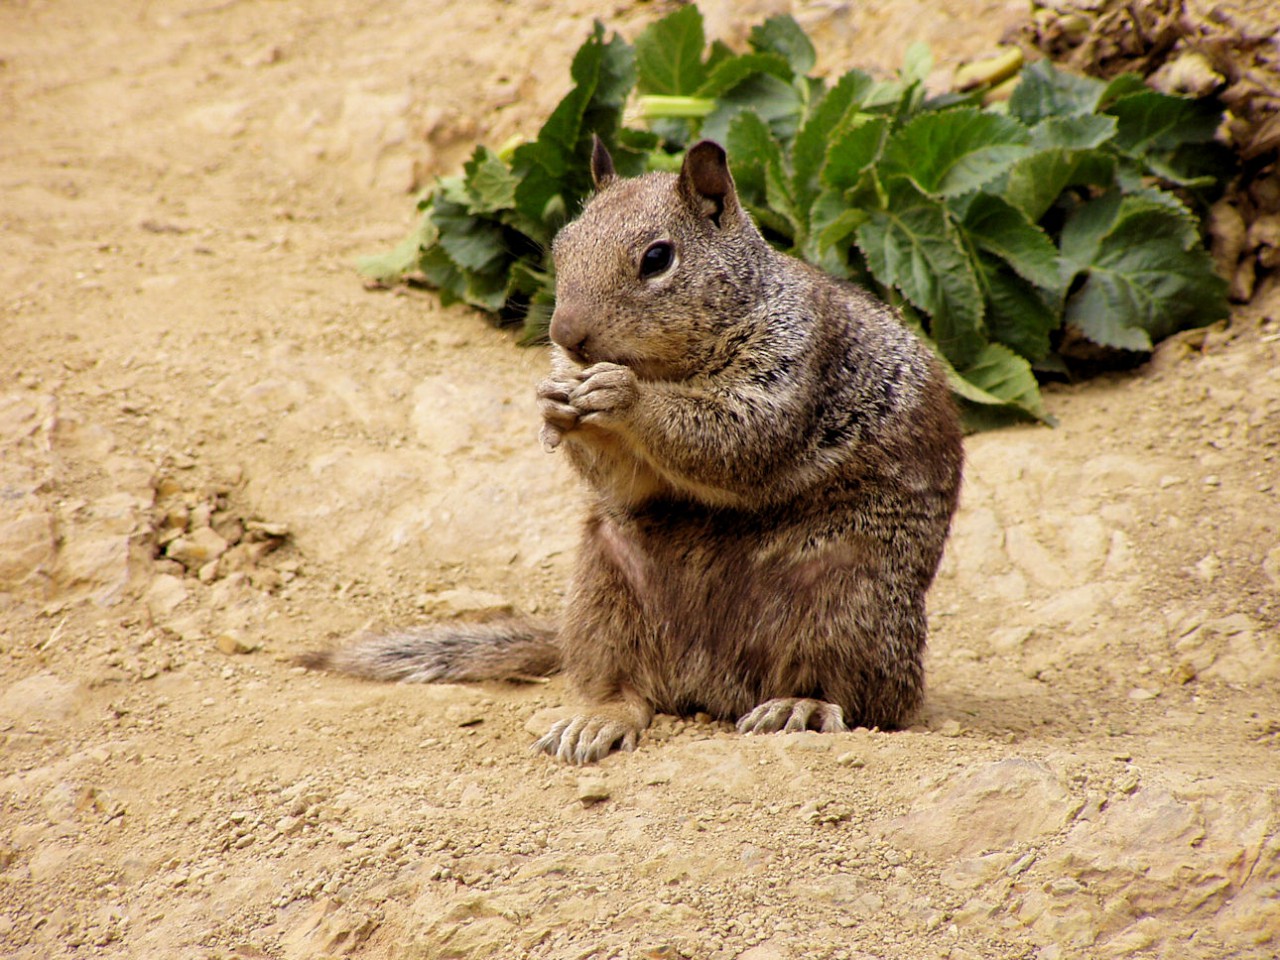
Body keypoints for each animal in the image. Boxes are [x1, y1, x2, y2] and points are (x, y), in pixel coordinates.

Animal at [299, 136, 962, 768]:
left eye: (657, 258)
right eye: (561, 247)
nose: (565, 336)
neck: (671, 364)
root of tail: (711, 685)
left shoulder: (788, 369)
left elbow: (735, 435)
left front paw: (624, 396)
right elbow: (623, 477)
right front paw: (554, 405)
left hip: (847, 604)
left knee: (860, 695)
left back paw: (798, 705)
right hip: (603, 592)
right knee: (627, 689)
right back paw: (597, 720)